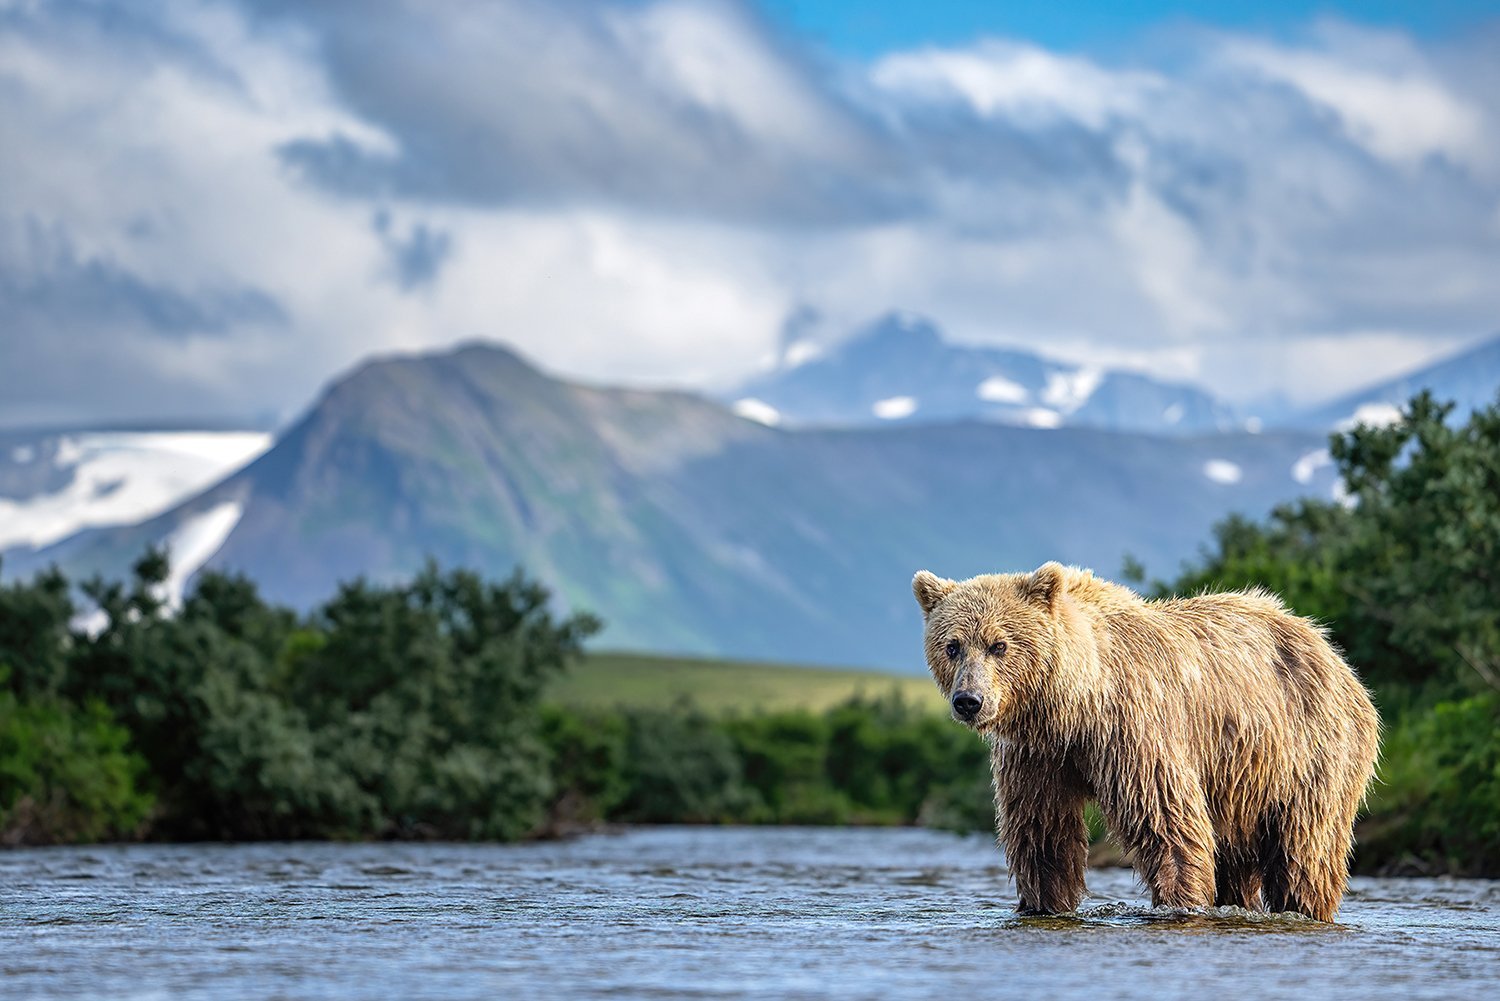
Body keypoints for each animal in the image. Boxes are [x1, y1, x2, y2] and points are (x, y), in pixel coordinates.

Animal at [912, 561, 1379, 922]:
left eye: (999, 644)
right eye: (953, 645)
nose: (969, 700)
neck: (1072, 707)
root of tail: (1332, 651)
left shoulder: (1133, 730)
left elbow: (1167, 822)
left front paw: (1180, 902)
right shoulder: (1039, 756)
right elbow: (1043, 833)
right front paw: (1043, 903)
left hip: (1310, 750)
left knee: (1306, 848)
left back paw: (1304, 906)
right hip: (1240, 780)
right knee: (1238, 854)